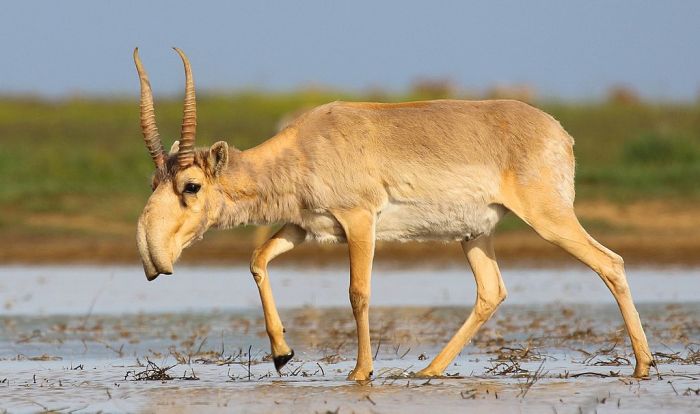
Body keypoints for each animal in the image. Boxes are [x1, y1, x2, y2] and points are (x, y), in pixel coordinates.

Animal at [134, 47, 652, 378]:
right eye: (153, 182)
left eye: (191, 185)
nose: (152, 258)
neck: (305, 146)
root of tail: (559, 132)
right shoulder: (304, 227)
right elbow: (257, 260)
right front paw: (282, 355)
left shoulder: (360, 222)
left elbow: (358, 293)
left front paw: (360, 373)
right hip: (474, 235)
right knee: (491, 291)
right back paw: (428, 371)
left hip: (549, 218)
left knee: (610, 262)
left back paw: (644, 365)